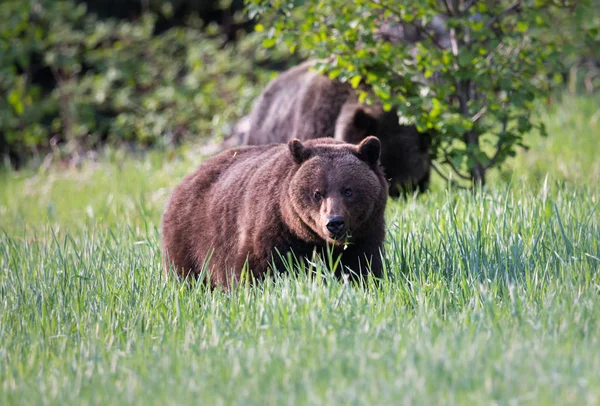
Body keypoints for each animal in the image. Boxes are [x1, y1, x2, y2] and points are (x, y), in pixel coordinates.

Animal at [159, 137, 386, 288]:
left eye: (348, 190)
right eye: (317, 193)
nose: (334, 222)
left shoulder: (365, 233)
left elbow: (363, 267)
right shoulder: (272, 229)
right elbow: (254, 269)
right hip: (192, 236)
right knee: (185, 274)